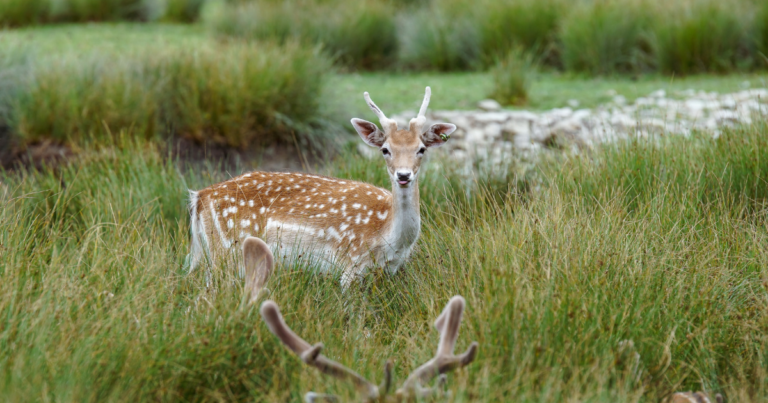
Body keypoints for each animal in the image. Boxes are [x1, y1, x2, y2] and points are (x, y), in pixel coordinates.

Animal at [188, 87, 456, 288]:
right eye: (385, 149)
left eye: (421, 149)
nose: (403, 175)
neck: (391, 239)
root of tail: (200, 196)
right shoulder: (350, 264)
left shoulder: (391, 270)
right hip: (226, 250)